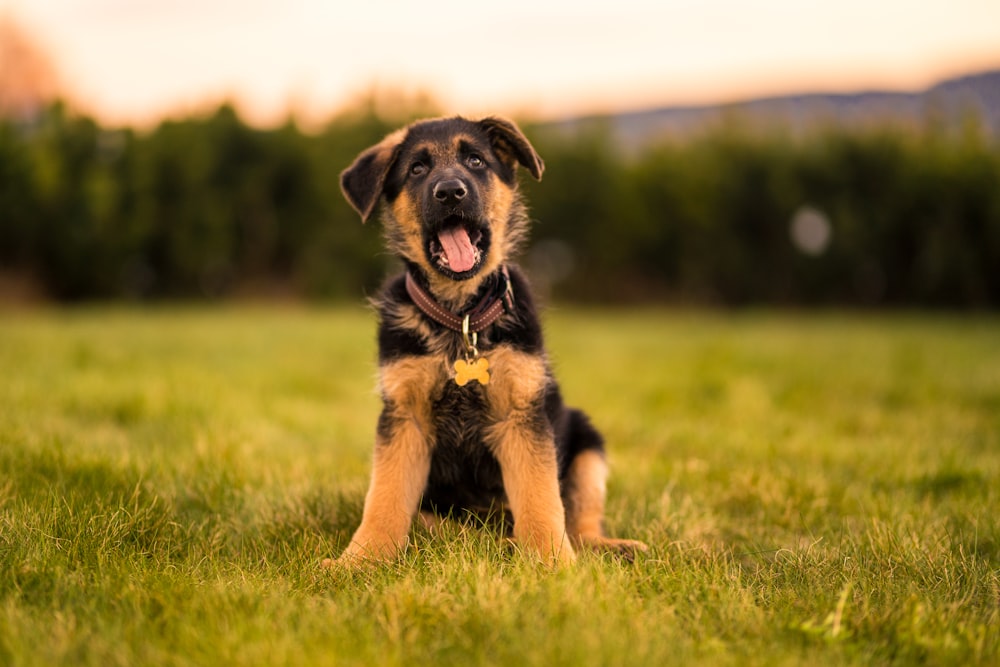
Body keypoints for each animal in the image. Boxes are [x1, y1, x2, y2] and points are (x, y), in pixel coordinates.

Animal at [330, 116, 648, 568]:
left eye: (476, 161)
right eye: (417, 169)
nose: (450, 192)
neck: (460, 316)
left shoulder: (521, 416)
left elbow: (541, 498)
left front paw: (554, 564)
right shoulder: (404, 418)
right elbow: (384, 498)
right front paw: (359, 561)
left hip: (588, 445)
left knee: (579, 524)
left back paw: (606, 547)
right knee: (442, 527)